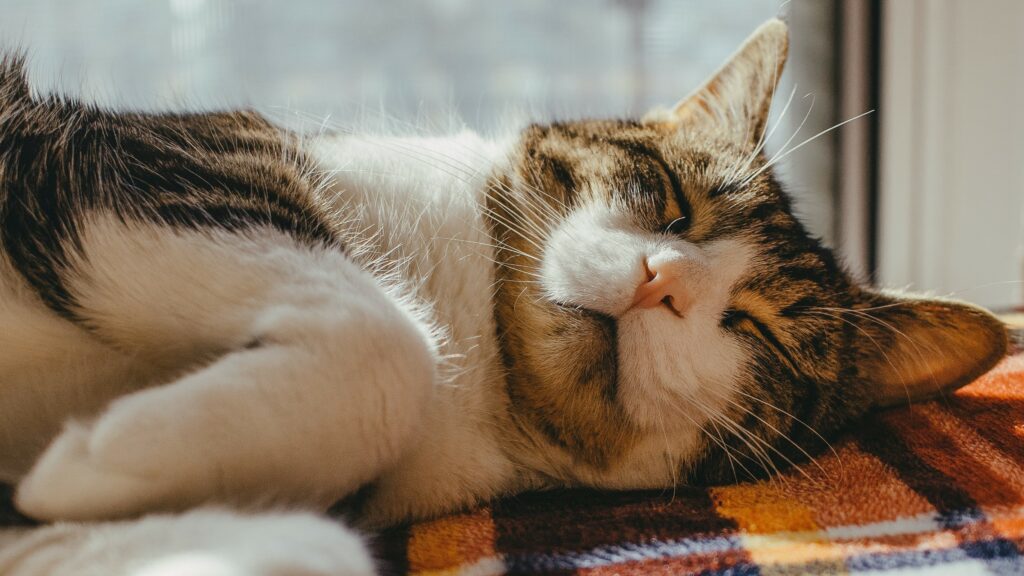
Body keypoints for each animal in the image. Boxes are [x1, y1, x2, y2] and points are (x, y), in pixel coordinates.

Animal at [0, 19, 1007, 573]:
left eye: (758, 330)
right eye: (672, 202)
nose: (664, 285)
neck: (479, 358)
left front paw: (96, 466)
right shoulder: (185, 164)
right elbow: (389, 346)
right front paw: (111, 455)